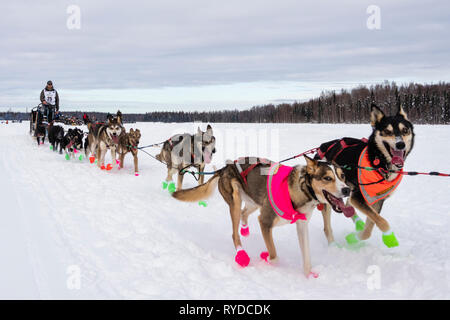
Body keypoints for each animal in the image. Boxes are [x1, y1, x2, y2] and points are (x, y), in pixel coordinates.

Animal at [172, 156, 352, 278]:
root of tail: (225, 168)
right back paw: (241, 254)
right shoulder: (265, 221)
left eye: (342, 176)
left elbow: (306, 255)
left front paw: (308, 274)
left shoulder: (301, 225)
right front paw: (265, 257)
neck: (299, 189)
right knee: (234, 234)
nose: (347, 190)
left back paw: (245, 230)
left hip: (254, 201)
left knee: (244, 214)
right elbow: (274, 255)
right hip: (236, 200)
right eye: (327, 178)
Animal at [316, 105, 414, 248]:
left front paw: (355, 237)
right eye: (387, 131)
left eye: (405, 130)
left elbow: (370, 226)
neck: (379, 162)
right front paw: (390, 237)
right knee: (327, 226)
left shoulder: (377, 200)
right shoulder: (358, 197)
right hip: (328, 197)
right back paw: (333, 246)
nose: (400, 144)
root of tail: (322, 147)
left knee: (348, 206)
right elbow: (382, 222)